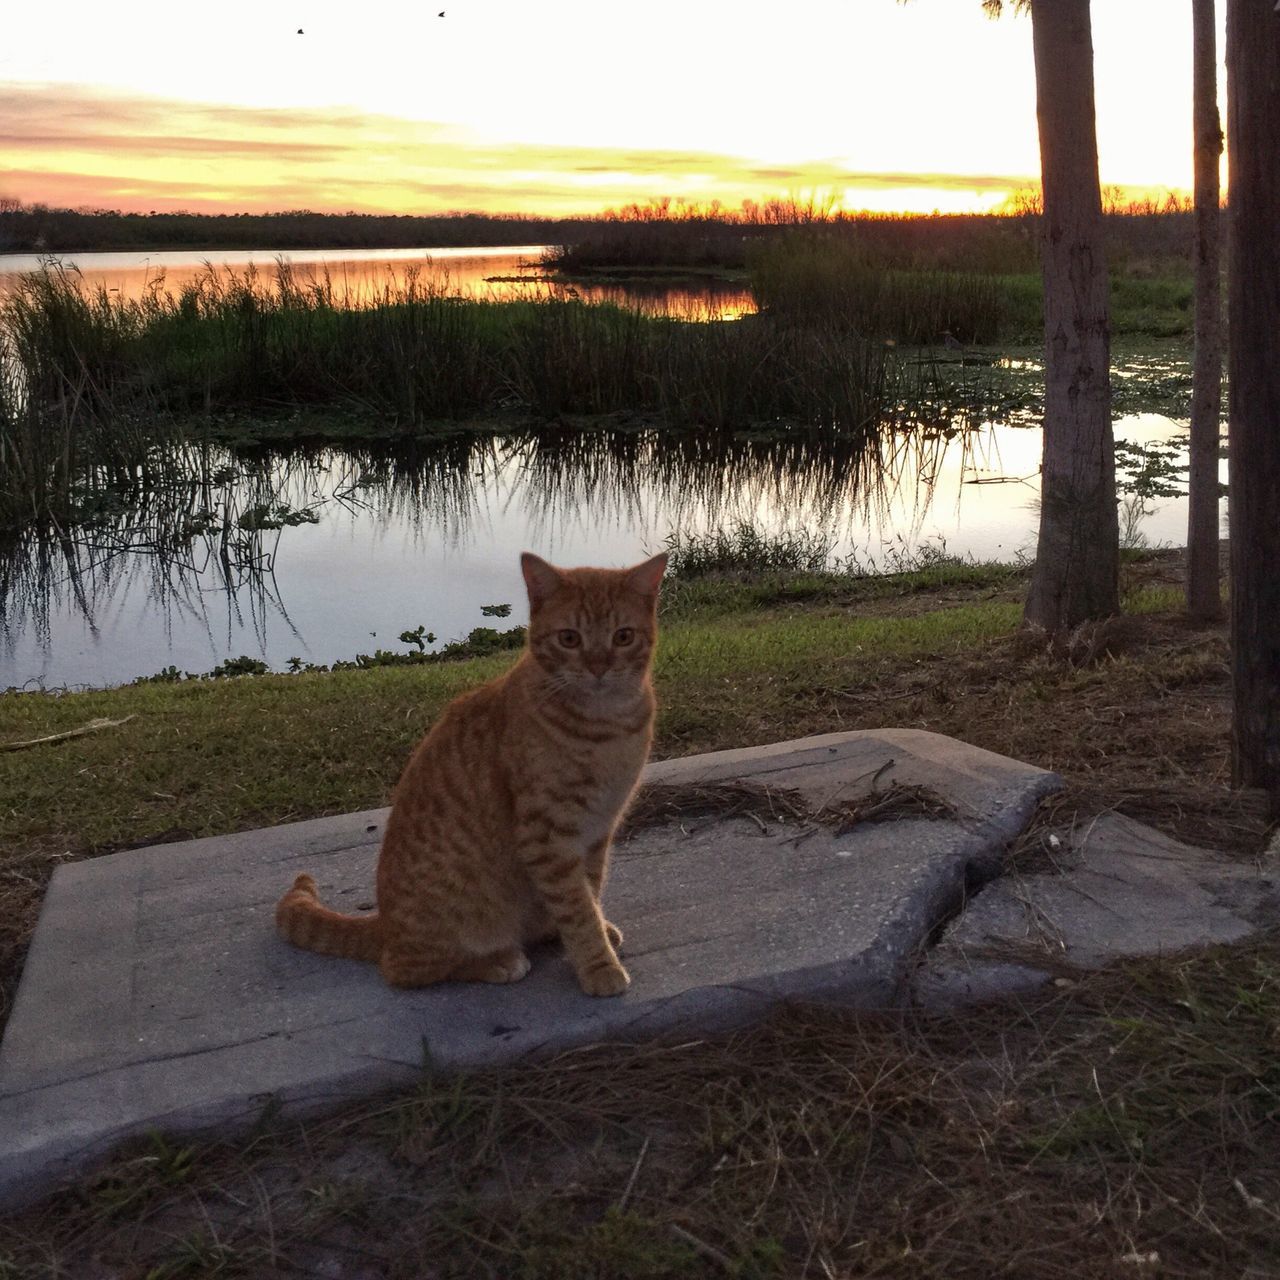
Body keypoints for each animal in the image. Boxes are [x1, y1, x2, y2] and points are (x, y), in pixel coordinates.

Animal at [273, 550, 665, 998]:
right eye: (569, 639)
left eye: (623, 637)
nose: (599, 667)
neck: (607, 726)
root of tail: (384, 925)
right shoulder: (547, 837)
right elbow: (577, 908)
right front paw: (599, 965)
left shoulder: (598, 832)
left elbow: (589, 893)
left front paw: (594, 932)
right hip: (451, 927)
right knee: (405, 971)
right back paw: (497, 961)